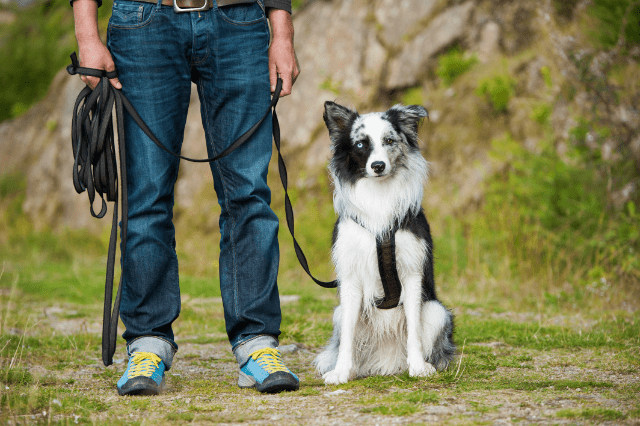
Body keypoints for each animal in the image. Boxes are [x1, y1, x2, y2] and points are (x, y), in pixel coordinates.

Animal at [314, 101, 456, 384]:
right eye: (360, 144)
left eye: (389, 140)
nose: (378, 165)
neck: (378, 196)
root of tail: (386, 362)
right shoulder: (351, 276)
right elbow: (347, 337)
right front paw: (341, 372)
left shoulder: (412, 273)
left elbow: (414, 329)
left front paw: (418, 367)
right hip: (338, 312)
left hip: (437, 311)